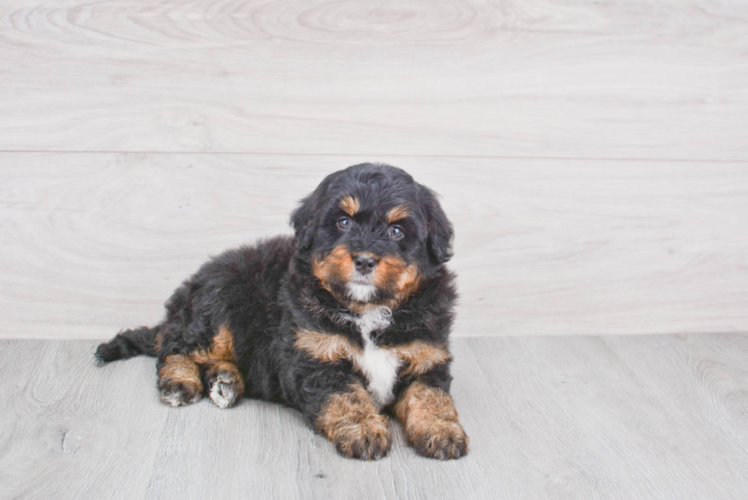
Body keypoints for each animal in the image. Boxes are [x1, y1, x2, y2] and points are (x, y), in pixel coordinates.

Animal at [95, 164, 468, 460]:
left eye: (396, 230)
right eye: (343, 222)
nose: (363, 260)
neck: (367, 310)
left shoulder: (426, 354)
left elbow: (430, 395)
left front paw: (443, 431)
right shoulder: (315, 359)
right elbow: (347, 396)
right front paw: (363, 430)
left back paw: (225, 380)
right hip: (218, 306)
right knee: (176, 348)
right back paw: (179, 381)